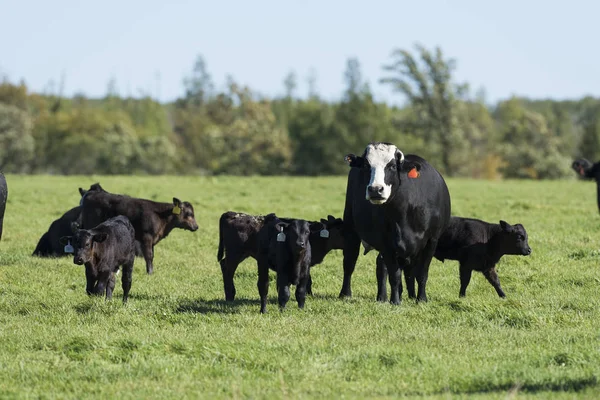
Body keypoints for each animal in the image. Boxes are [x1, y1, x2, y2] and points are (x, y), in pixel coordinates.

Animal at [342, 141, 450, 304]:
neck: (403, 213)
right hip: (350, 227)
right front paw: (395, 301)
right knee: (350, 262)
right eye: (367, 165)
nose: (375, 189)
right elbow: (395, 275)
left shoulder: (431, 240)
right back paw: (346, 294)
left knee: (386, 266)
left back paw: (386, 297)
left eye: (392, 166)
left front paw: (421, 299)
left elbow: (421, 273)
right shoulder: (386, 242)